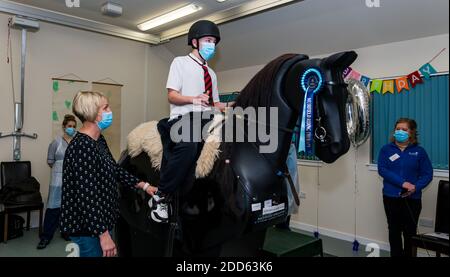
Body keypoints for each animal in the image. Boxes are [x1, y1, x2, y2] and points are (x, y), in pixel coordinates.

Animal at [117, 50, 358, 256]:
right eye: (321, 90)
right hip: (128, 225)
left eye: (344, 92)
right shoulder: (209, 243)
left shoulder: (251, 236)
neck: (255, 153)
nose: (338, 146)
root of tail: (128, 149)